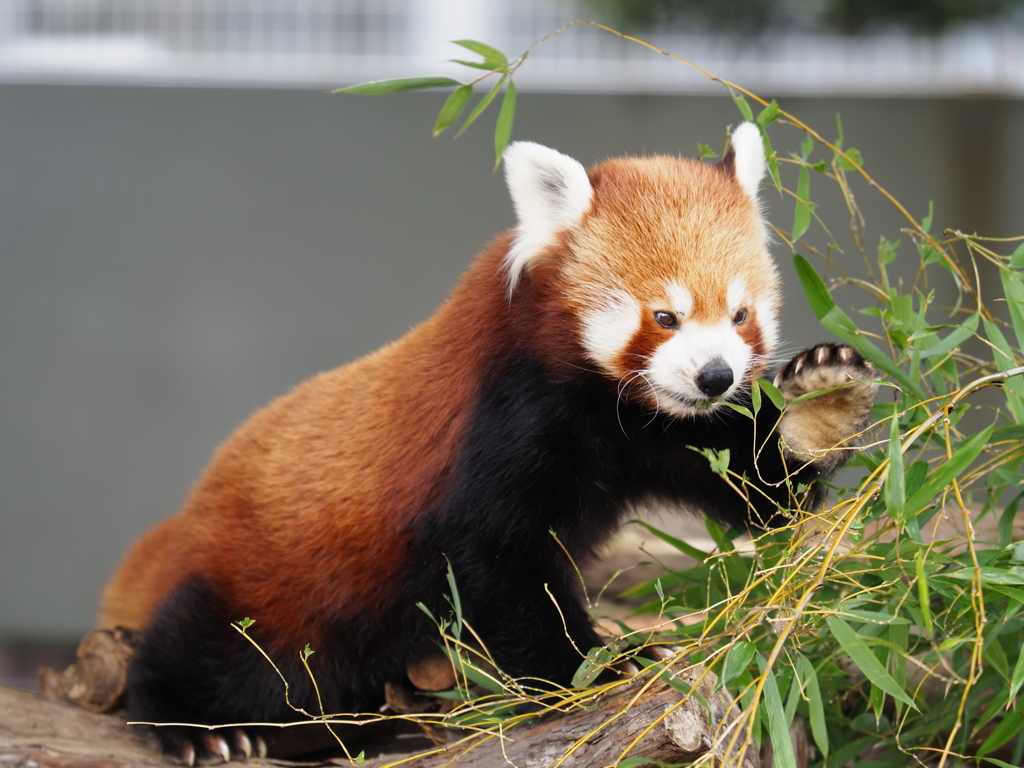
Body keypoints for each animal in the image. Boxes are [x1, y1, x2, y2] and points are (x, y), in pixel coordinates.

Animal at [97, 121, 880, 765]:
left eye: (741, 314)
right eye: (665, 316)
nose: (716, 375)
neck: (605, 412)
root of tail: (193, 511)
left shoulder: (653, 431)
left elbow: (756, 482)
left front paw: (821, 409)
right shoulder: (504, 419)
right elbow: (496, 560)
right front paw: (595, 667)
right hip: (276, 588)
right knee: (211, 649)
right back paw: (195, 728)